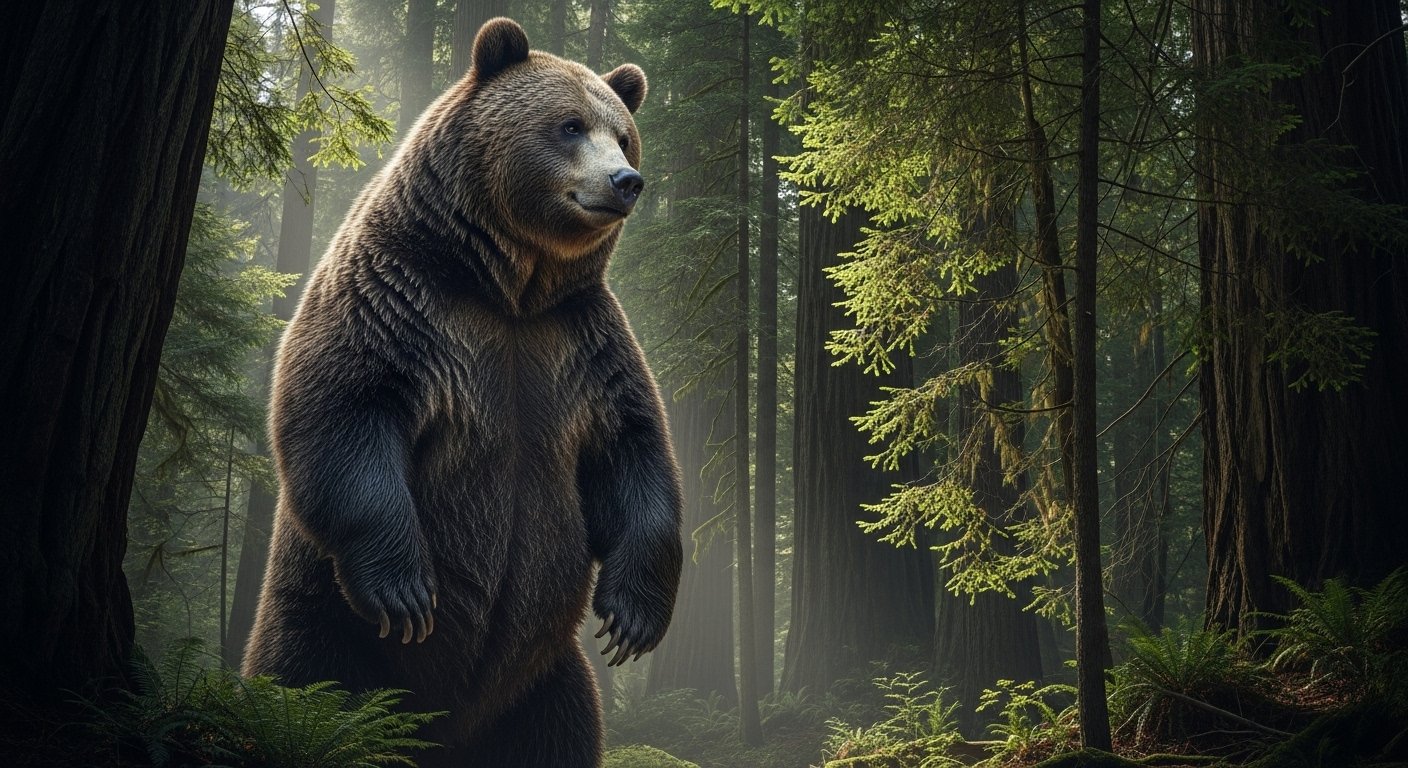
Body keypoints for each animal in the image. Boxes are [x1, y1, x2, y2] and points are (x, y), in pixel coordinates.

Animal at [242, 17, 683, 768]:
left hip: (543, 680)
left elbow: (633, 449)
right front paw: (407, 592)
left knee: (561, 730)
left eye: (622, 134)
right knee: (307, 695)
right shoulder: (400, 304)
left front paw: (632, 618)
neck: (508, 287)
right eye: (569, 125)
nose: (625, 180)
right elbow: (345, 412)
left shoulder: (578, 345)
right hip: (323, 630)